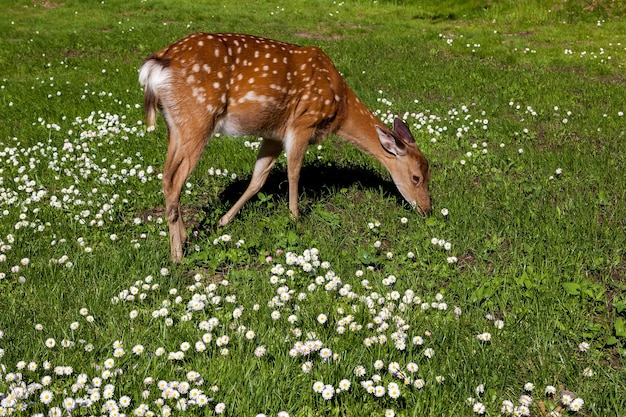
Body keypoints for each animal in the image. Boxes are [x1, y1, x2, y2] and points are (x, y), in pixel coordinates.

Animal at [139, 32, 428, 262]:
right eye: (417, 177)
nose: (427, 210)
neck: (340, 108)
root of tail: (157, 63)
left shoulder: (274, 134)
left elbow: (258, 178)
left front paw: (223, 221)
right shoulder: (302, 123)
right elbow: (293, 173)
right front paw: (295, 219)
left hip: (175, 125)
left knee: (166, 177)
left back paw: (185, 237)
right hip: (198, 118)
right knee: (174, 179)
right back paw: (177, 255)